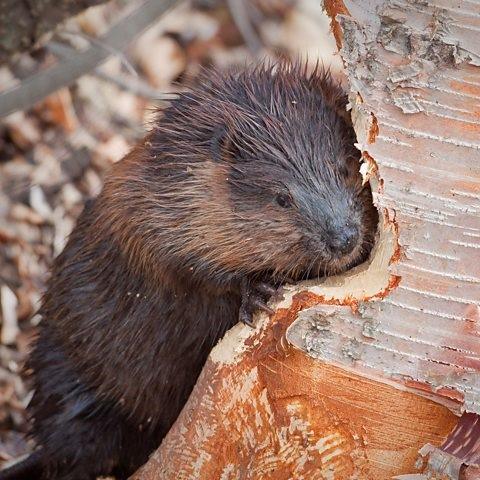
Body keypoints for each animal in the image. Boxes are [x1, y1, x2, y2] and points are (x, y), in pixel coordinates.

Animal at [0, 62, 378, 478]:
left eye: (344, 168)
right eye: (282, 198)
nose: (343, 238)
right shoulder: (147, 206)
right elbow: (182, 264)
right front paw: (257, 294)